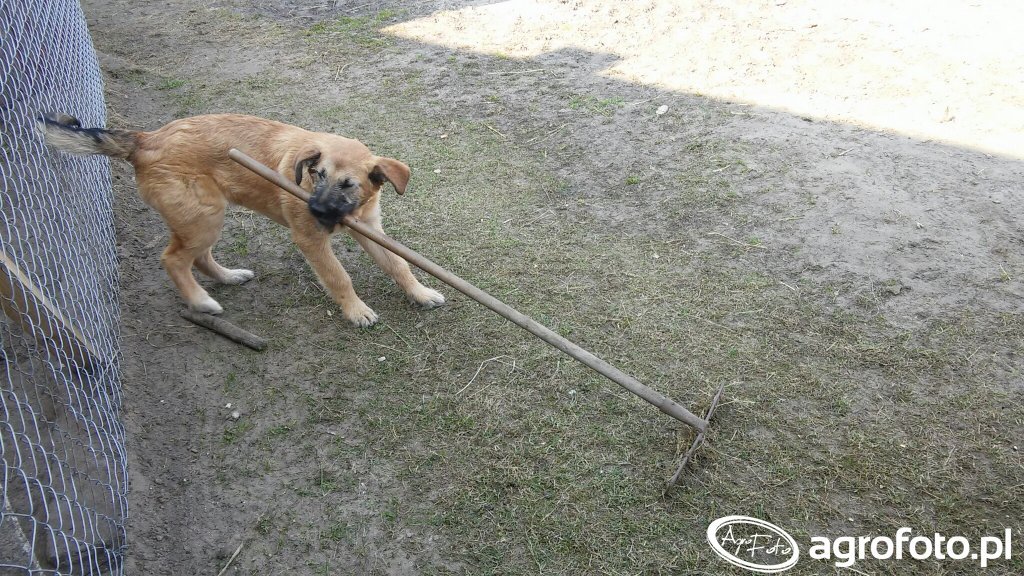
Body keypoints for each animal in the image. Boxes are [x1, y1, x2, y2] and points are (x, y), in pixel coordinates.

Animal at [39, 112, 445, 327]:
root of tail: (145, 139)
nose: (314, 211)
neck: (352, 210)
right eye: (317, 174)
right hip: (203, 218)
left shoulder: (371, 229)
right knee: (173, 259)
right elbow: (338, 276)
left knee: (199, 257)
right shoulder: (311, 240)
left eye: (348, 185)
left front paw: (420, 293)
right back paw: (201, 302)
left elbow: (398, 265)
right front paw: (356, 310)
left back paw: (229, 277)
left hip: (205, 218)